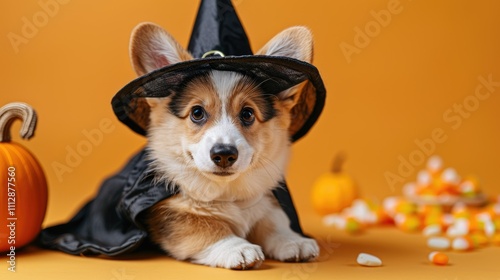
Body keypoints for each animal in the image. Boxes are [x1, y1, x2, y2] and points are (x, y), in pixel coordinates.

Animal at [132, 22, 320, 270]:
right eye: (197, 113)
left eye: (247, 114)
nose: (223, 155)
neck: (228, 193)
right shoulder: (170, 215)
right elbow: (205, 226)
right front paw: (237, 248)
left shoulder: (264, 201)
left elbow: (274, 220)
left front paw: (294, 241)